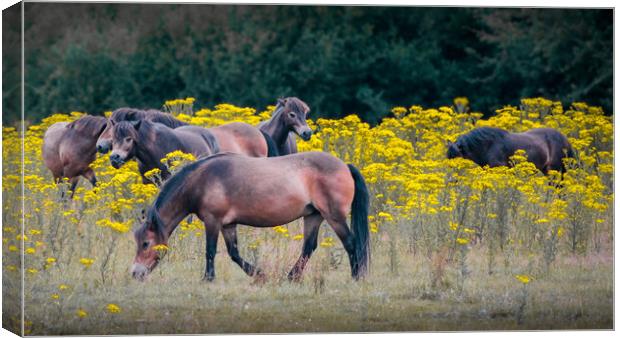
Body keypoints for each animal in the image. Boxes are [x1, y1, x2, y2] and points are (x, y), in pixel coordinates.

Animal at [130, 152, 368, 282]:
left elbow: (210, 251)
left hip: (334, 216)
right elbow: (234, 253)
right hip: (314, 216)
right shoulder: (228, 225)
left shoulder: (213, 221)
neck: (202, 181)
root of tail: (344, 166)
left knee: (351, 243)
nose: (135, 273)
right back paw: (291, 277)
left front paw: (208, 278)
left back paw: (356, 277)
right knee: (309, 247)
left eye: (145, 243)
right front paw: (260, 275)